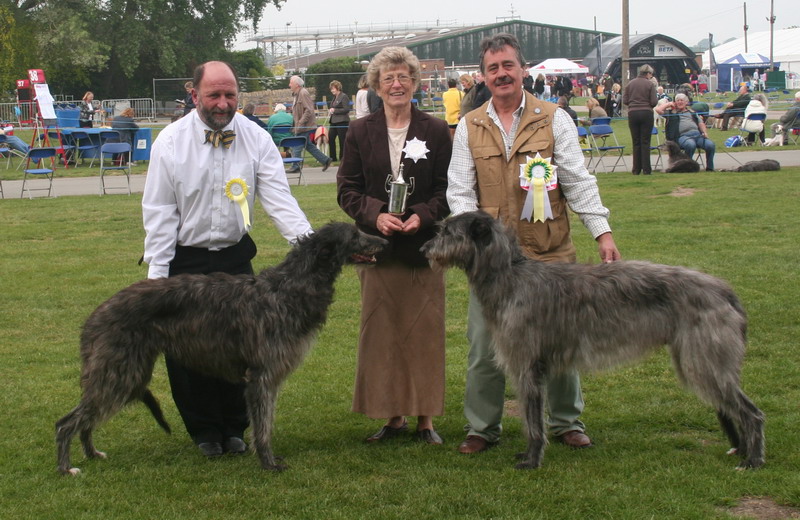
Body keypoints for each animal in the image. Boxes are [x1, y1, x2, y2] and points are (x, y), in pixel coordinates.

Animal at [56, 221, 388, 474]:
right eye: (355, 235)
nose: (384, 241)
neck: (288, 288)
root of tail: (95, 316)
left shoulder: (269, 377)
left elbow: (265, 422)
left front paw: (267, 457)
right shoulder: (262, 375)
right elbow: (262, 426)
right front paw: (268, 463)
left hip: (121, 371)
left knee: (85, 418)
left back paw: (91, 453)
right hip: (121, 370)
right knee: (66, 422)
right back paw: (66, 467)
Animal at [422, 211, 764, 472]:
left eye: (447, 231)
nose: (424, 248)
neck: (511, 276)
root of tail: (725, 291)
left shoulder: (528, 366)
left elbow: (533, 422)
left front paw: (532, 460)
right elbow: (532, 420)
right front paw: (528, 455)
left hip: (705, 358)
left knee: (751, 412)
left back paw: (753, 460)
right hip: (696, 359)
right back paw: (742, 450)